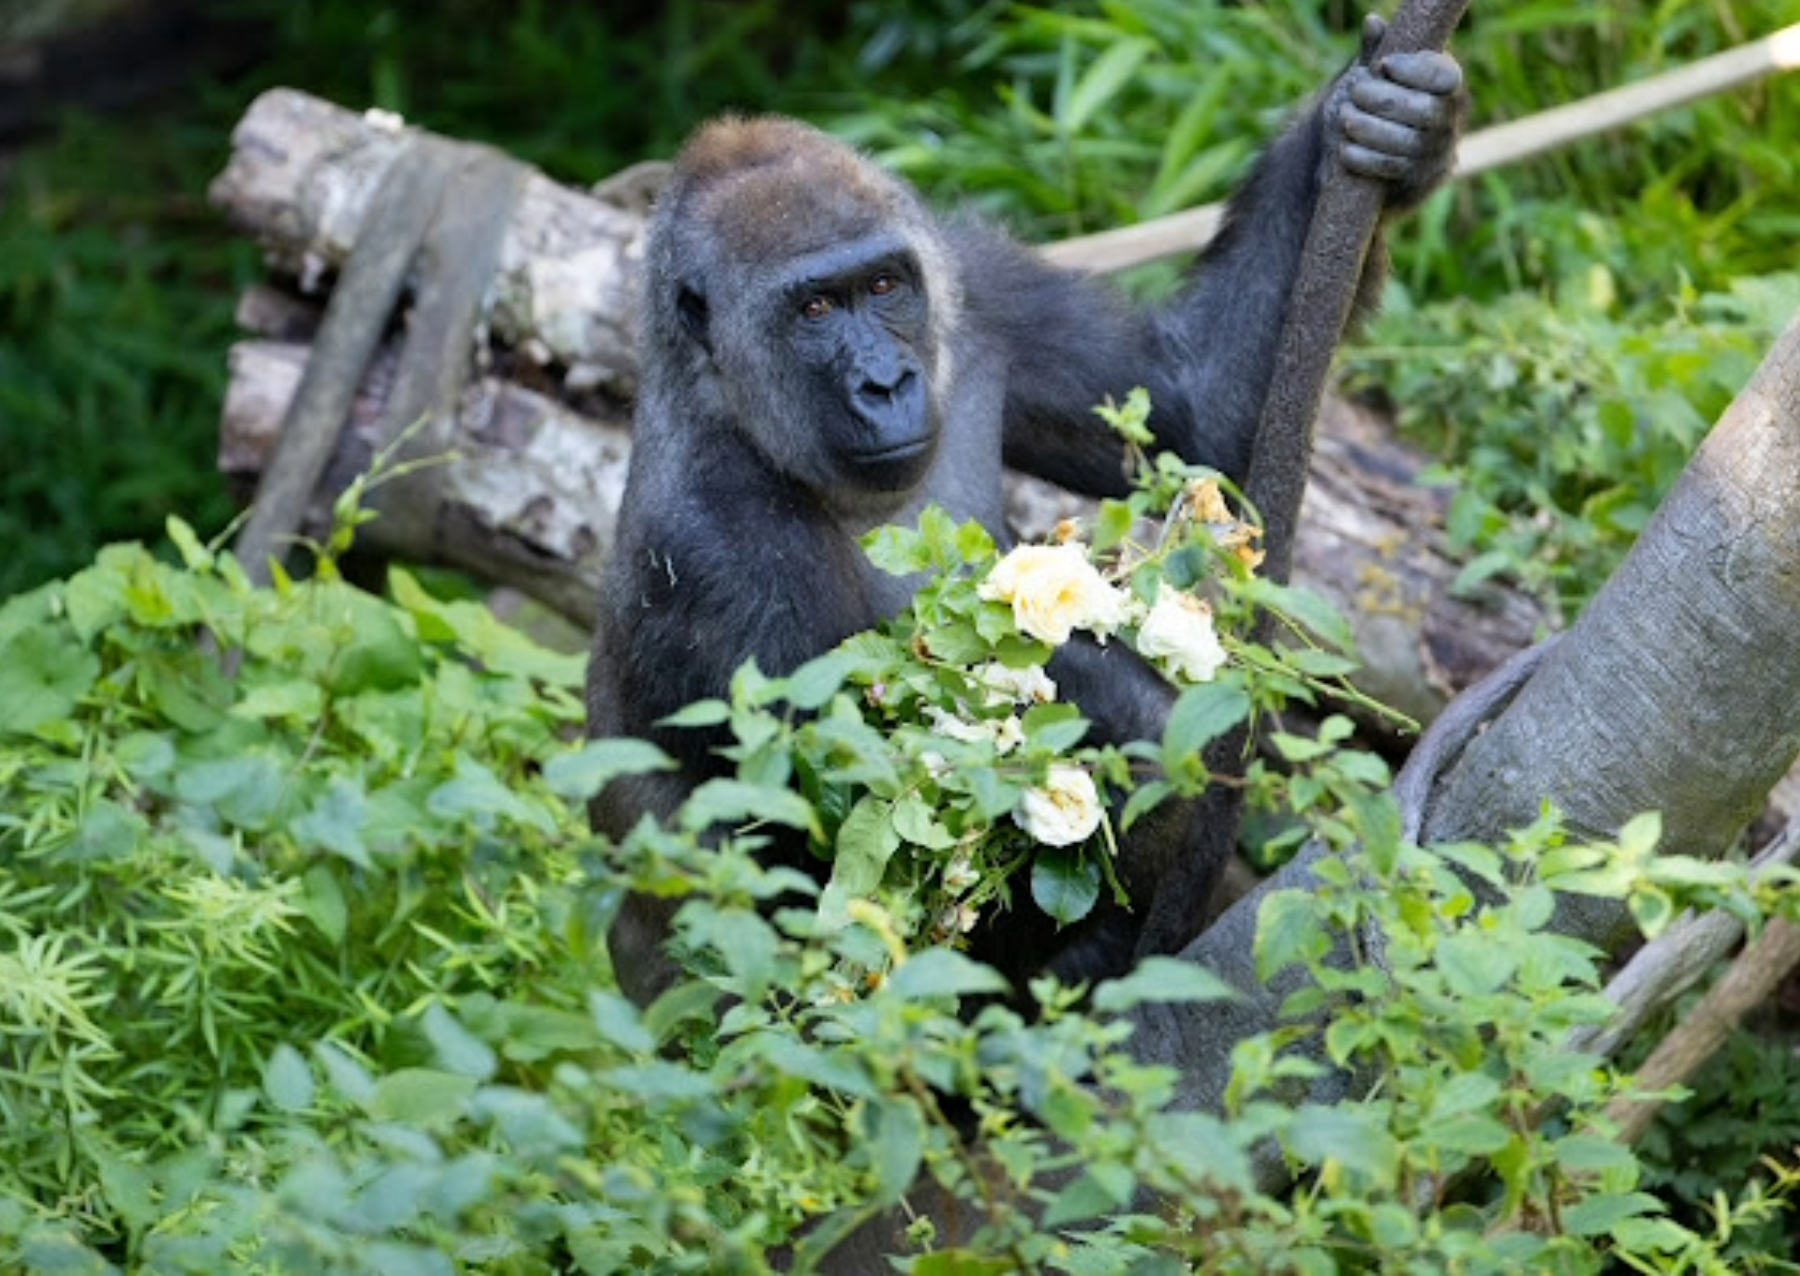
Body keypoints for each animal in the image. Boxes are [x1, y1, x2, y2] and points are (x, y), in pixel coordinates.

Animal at [588, 26, 1465, 1007]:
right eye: (812, 308)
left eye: (884, 286)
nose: (884, 382)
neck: (727, 402)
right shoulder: (718, 549)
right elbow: (835, 876)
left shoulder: (971, 275)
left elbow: (1193, 397)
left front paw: (1372, 123)